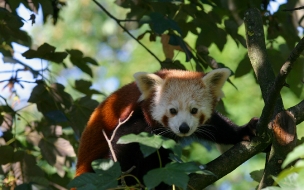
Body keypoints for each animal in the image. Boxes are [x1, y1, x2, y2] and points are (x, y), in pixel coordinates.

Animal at [74, 68, 256, 186]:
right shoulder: (134, 120)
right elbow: (118, 153)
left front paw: (244, 130)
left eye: (194, 110)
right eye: (172, 111)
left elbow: (217, 126)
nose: (184, 128)